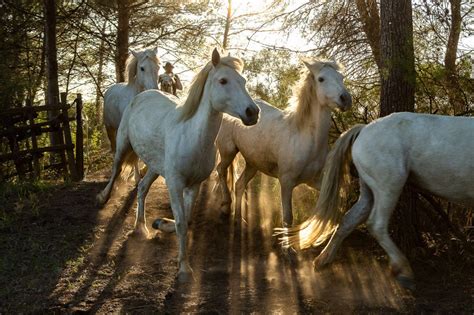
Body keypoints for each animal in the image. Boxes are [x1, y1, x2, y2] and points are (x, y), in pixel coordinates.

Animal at [103, 48, 160, 183]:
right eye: (142, 68)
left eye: (158, 67)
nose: (154, 89)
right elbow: (134, 157)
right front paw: (137, 177)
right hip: (110, 128)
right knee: (115, 149)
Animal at [217, 59, 350, 227]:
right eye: (321, 79)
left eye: (341, 77)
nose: (346, 98)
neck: (304, 137)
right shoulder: (286, 183)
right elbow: (287, 220)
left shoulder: (314, 180)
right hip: (228, 152)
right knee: (220, 170)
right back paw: (225, 207)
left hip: (252, 164)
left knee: (239, 185)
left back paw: (238, 220)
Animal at [282, 113, 474, 292]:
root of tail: (364, 129)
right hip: (389, 185)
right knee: (376, 224)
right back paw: (404, 272)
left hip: (368, 191)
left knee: (349, 220)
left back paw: (322, 261)